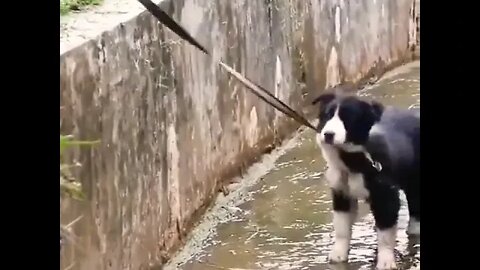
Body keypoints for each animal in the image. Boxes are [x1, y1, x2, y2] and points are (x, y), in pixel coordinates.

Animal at [312, 92, 420, 268]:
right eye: (328, 115)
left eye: (348, 118)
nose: (328, 135)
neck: (351, 160)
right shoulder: (341, 191)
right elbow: (341, 226)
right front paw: (338, 254)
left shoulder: (385, 193)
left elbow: (385, 230)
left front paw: (385, 261)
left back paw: (414, 229)